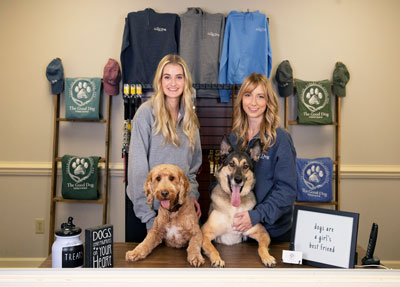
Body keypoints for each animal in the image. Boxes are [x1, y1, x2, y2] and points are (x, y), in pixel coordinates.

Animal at [202, 137, 276, 268]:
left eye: (245, 166)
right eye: (231, 164)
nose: (237, 180)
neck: (233, 208)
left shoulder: (262, 232)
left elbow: (262, 247)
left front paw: (267, 257)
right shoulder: (204, 232)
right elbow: (213, 249)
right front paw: (217, 259)